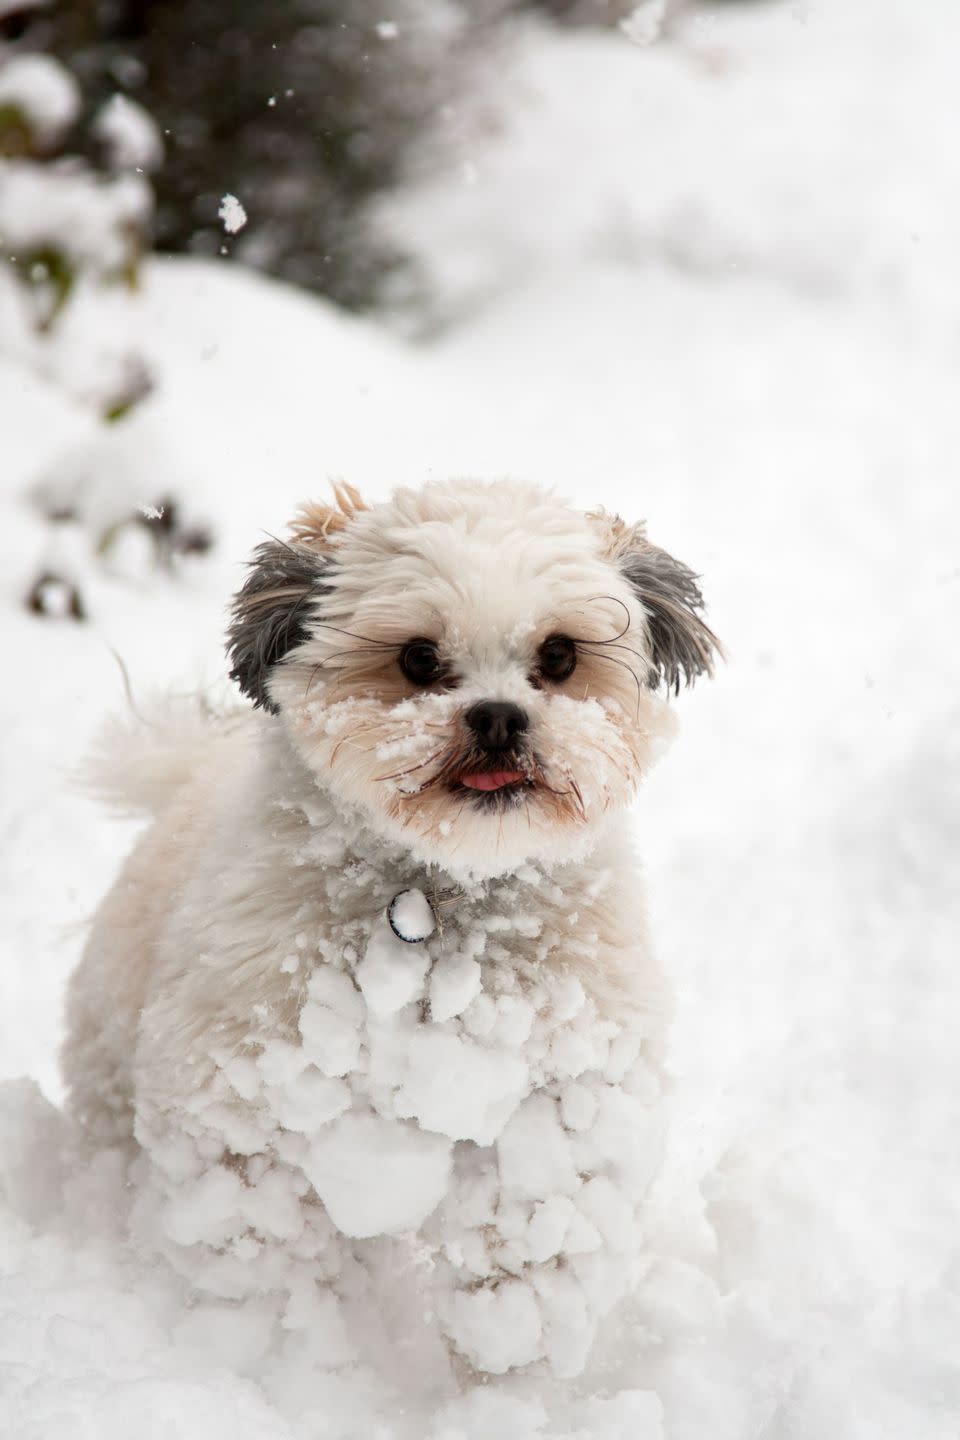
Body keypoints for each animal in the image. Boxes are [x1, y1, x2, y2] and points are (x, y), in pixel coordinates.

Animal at [61, 478, 719, 1376]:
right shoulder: (246, 1088)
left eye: (557, 657)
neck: (446, 891)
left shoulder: (569, 1093)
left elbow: (536, 1243)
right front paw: (285, 1356)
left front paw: (507, 1366)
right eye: (417, 659)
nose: (498, 717)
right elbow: (259, 1238)